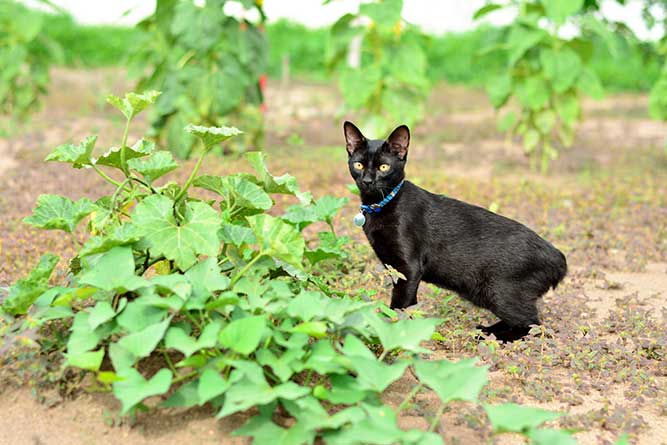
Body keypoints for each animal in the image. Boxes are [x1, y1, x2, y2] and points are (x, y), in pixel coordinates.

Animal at [344, 119, 568, 342]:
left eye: (384, 167)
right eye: (358, 165)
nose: (367, 181)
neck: (380, 205)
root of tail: (557, 256)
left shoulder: (409, 268)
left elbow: (400, 307)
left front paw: (392, 334)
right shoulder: (396, 268)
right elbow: (409, 305)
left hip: (499, 292)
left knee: (532, 325)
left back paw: (491, 336)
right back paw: (484, 330)